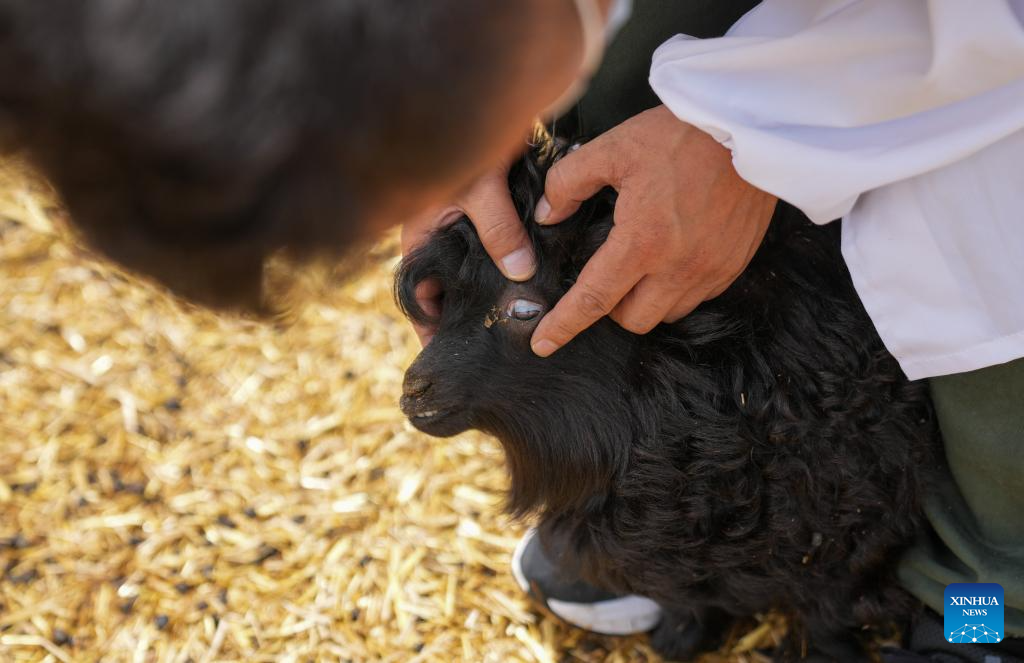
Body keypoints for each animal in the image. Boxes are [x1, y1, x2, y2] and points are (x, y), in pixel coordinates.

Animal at [395, 141, 940, 661]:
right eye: (444, 300)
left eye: (525, 310)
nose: (413, 390)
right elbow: (689, 603)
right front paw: (678, 641)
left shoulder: (850, 548)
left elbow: (826, 622)